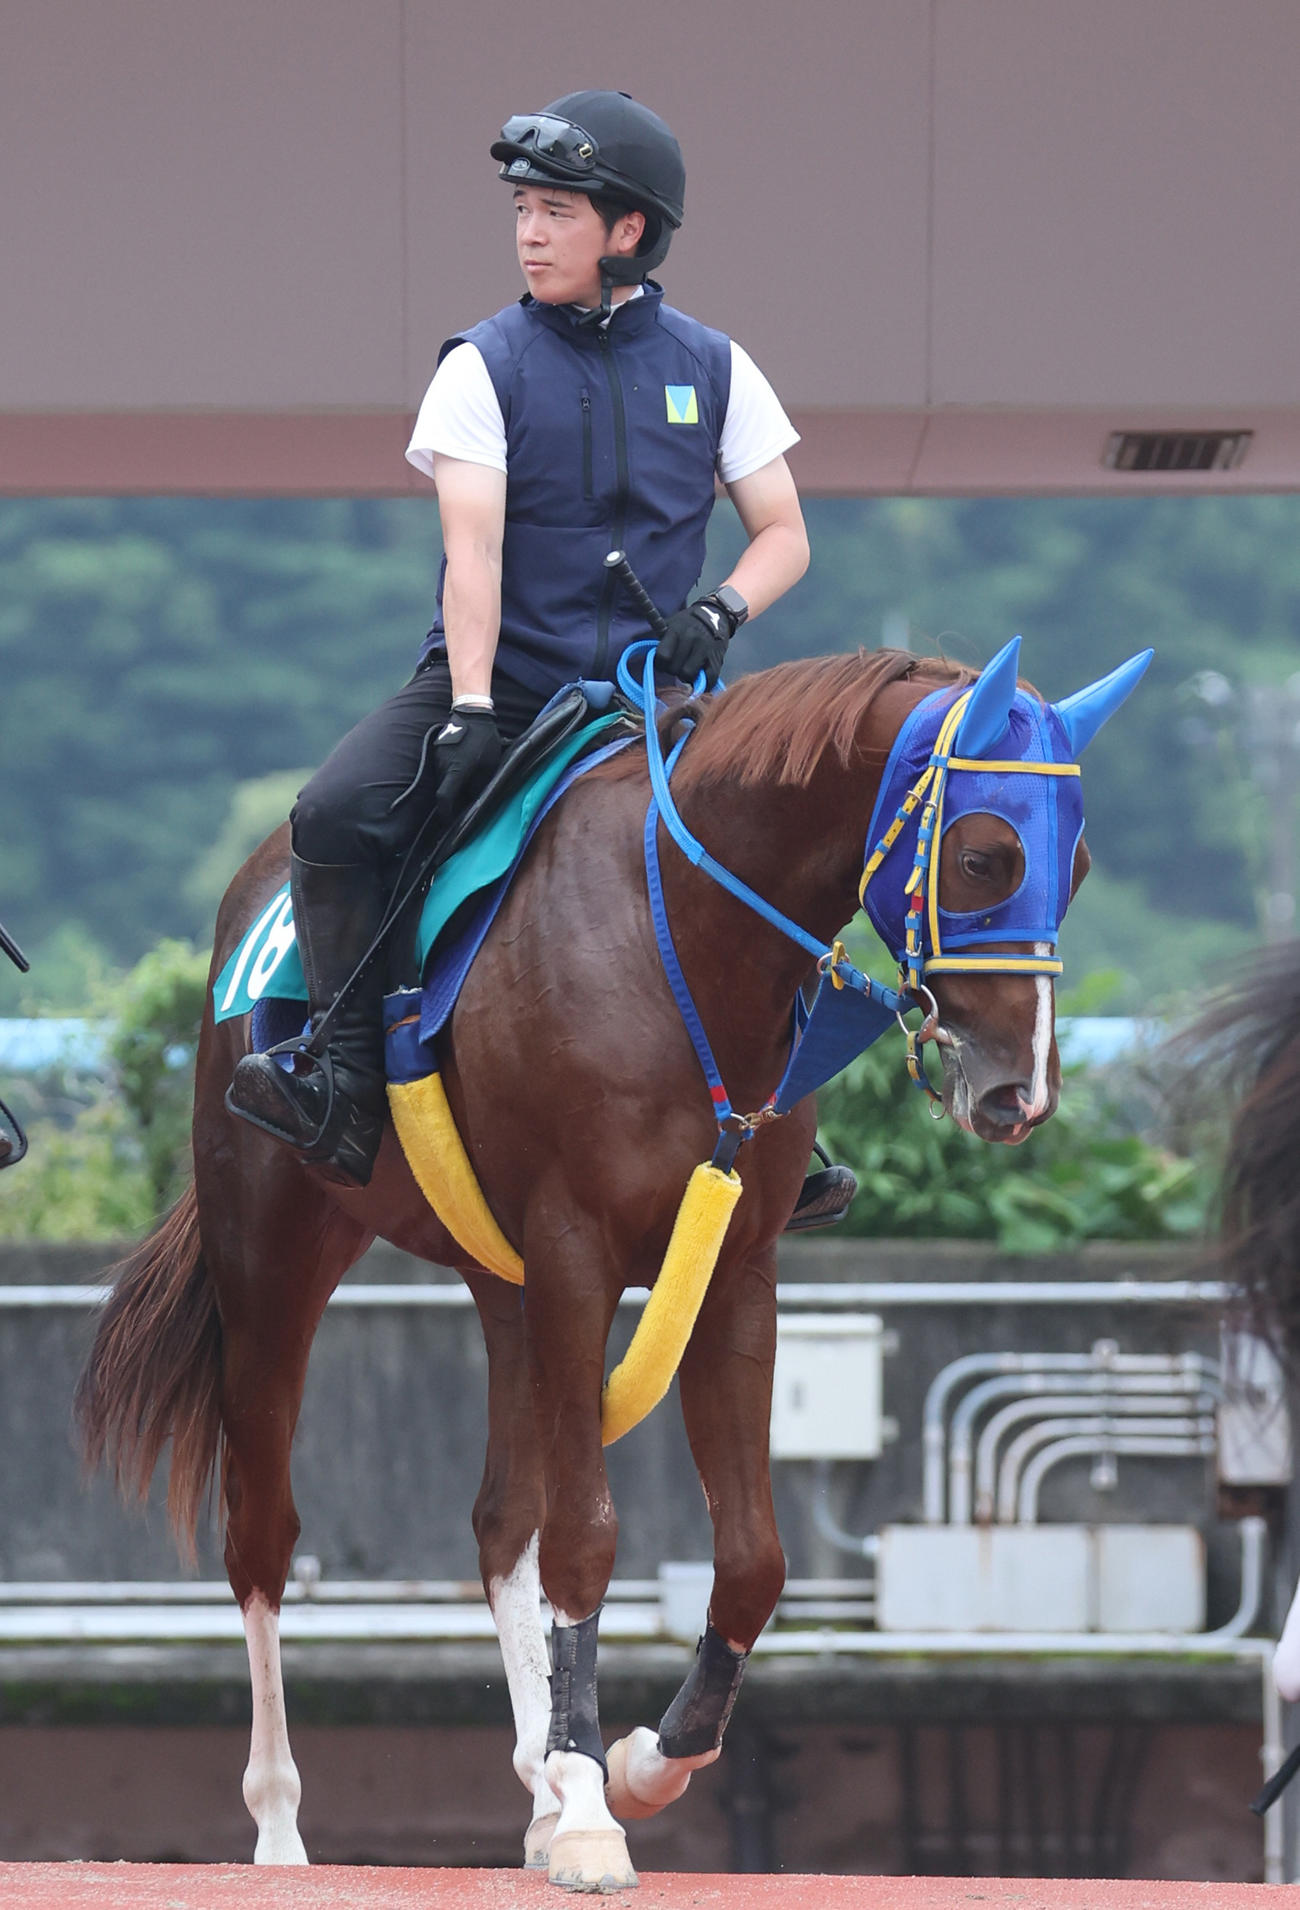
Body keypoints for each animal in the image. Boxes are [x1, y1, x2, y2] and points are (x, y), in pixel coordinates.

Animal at [75, 639, 1144, 1890]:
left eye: (1078, 864)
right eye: (984, 855)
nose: (1019, 1089)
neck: (680, 940)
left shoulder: (731, 1271)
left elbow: (750, 1556)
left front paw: (632, 1762)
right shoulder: (577, 1248)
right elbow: (585, 1537)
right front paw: (594, 1806)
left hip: (504, 1285)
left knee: (501, 1522)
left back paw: (540, 1777)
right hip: (275, 1248)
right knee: (264, 1532)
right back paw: (286, 1826)